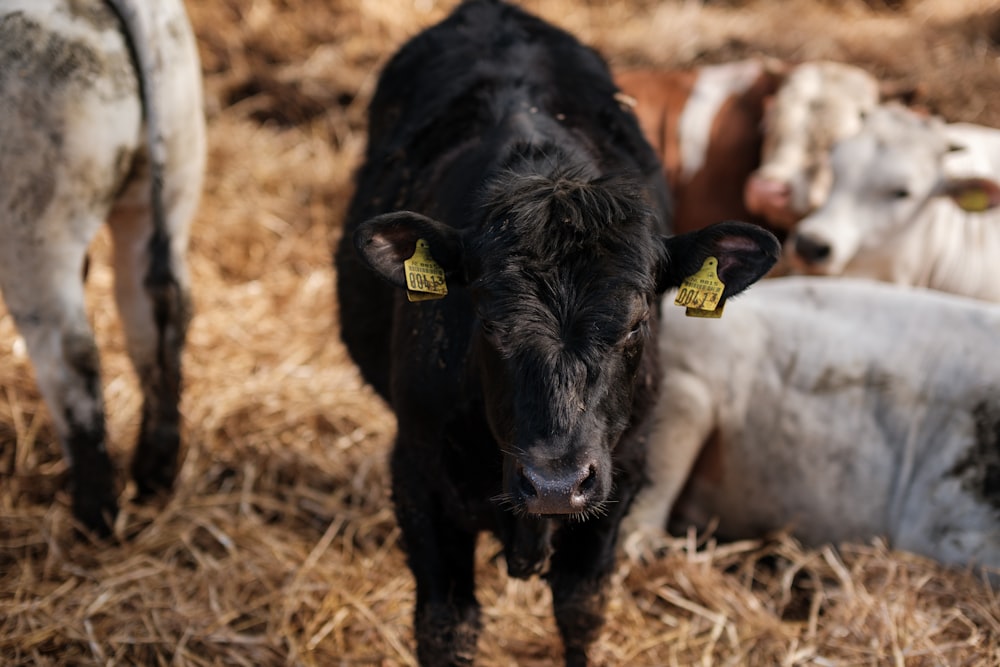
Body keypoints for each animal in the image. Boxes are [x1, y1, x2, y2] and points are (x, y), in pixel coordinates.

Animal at [0, 0, 206, 536]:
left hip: (35, 229)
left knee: (72, 352)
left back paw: (96, 513)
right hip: (168, 188)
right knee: (161, 317)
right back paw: (153, 475)